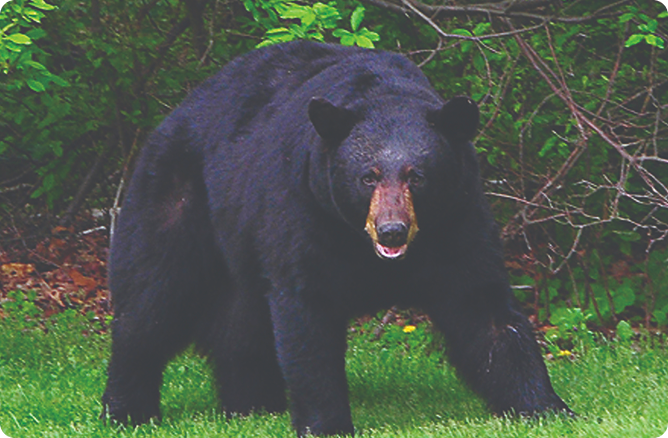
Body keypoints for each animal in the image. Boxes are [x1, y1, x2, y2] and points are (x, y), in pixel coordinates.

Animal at [102, 40, 570, 437]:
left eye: (417, 176)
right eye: (368, 176)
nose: (392, 229)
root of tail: (174, 115)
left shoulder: (456, 220)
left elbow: (484, 309)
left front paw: (546, 406)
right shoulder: (306, 209)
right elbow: (306, 315)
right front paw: (326, 424)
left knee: (242, 320)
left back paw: (252, 404)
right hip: (179, 198)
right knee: (153, 300)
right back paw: (127, 410)